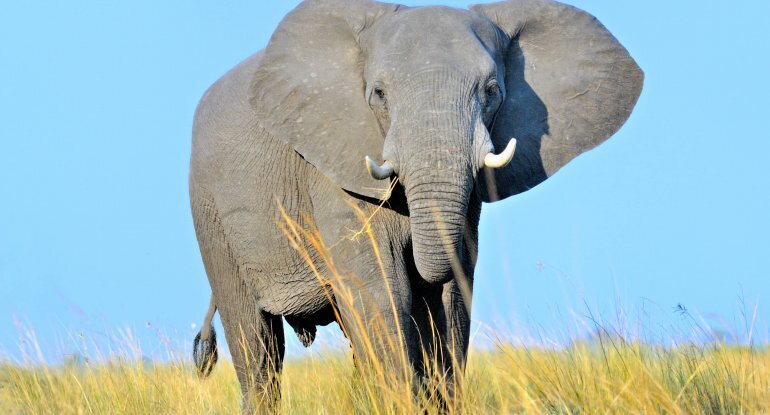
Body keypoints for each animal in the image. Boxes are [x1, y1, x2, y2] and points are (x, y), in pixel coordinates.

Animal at [189, 0, 640, 410]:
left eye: (492, 91)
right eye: (379, 94)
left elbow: (453, 296)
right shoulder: (331, 170)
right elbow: (385, 292)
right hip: (210, 213)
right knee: (256, 343)